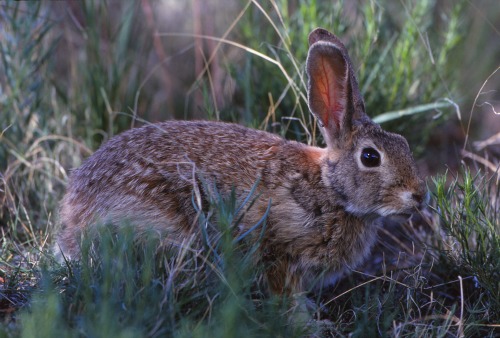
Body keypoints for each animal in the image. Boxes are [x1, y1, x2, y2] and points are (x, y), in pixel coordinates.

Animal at [57, 27, 426, 294]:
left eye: (404, 143)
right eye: (370, 157)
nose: (419, 195)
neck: (329, 189)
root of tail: (73, 216)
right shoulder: (280, 251)